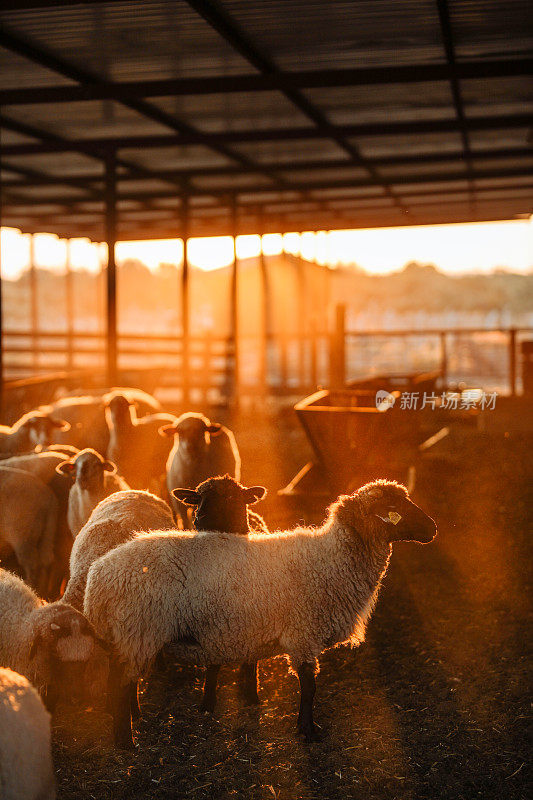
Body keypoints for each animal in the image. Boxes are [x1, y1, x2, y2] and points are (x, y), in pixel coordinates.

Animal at [0, 466, 58, 596]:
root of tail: (47, 497)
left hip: (22, 534)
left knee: (32, 565)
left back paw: (30, 588)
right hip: (48, 529)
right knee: (46, 561)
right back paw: (42, 592)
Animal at [84, 478, 436, 748]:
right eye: (391, 511)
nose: (432, 528)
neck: (333, 560)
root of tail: (98, 577)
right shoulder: (303, 634)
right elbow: (309, 687)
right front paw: (308, 731)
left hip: (128, 638)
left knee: (122, 682)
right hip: (137, 631)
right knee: (121, 685)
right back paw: (126, 742)